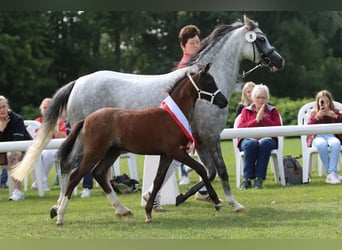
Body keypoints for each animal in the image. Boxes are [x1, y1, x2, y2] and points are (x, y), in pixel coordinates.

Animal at [12, 14, 284, 212]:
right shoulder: (210, 136)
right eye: (260, 39)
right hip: (86, 141)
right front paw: (233, 203)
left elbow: (208, 171)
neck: (198, 88)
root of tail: (78, 82)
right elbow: (221, 171)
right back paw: (59, 207)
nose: (279, 61)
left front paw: (179, 198)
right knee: (69, 166)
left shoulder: (198, 140)